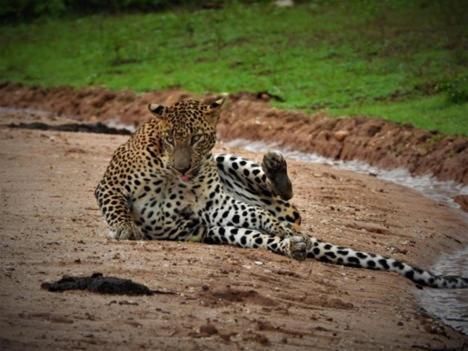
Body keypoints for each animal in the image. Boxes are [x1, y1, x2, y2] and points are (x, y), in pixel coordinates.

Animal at [95, 97, 468, 290]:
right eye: (170, 138)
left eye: (197, 138)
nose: (184, 168)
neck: (173, 178)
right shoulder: (109, 184)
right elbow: (116, 204)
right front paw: (125, 228)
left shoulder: (216, 205)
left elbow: (259, 215)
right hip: (222, 230)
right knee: (265, 232)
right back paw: (293, 244)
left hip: (230, 170)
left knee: (282, 207)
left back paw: (281, 189)